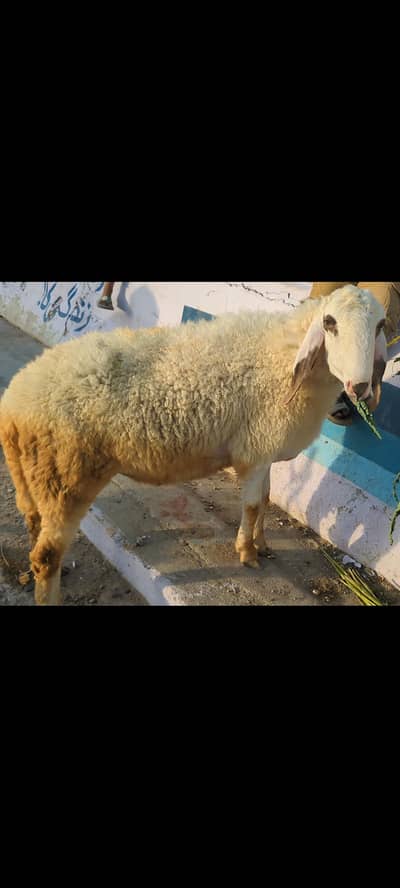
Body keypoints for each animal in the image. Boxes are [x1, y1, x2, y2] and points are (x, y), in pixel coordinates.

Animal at [0, 284, 387, 605]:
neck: (285, 360)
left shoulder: (263, 450)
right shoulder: (257, 447)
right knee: (45, 555)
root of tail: (16, 400)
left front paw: (262, 543)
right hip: (66, 476)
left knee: (34, 526)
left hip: (34, 474)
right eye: (329, 322)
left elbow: (264, 501)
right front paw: (247, 553)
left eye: (381, 326)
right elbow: (251, 506)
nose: (359, 387)